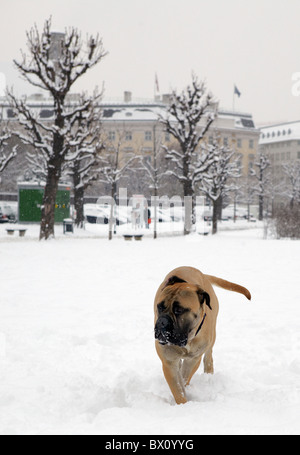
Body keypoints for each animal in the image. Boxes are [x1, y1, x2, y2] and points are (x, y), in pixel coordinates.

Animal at [155, 268, 251, 406]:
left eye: (179, 310)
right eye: (159, 307)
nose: (162, 322)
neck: (188, 339)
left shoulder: (193, 359)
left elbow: (184, 378)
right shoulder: (169, 361)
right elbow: (178, 388)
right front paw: (182, 403)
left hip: (211, 337)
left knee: (208, 356)